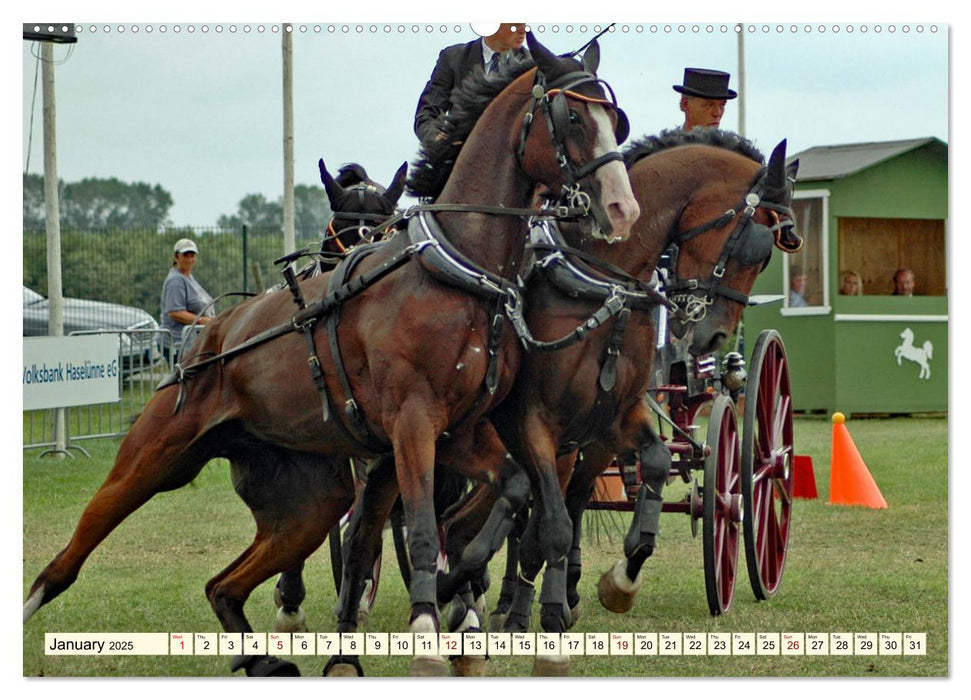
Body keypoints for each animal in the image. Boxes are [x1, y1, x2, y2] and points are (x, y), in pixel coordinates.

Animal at [22, 34, 636, 680]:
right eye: (573, 118)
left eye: (614, 119)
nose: (621, 207)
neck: (457, 273)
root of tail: (206, 341)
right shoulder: (412, 424)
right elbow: (422, 530)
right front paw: (428, 629)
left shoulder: (460, 434)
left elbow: (509, 492)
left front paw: (458, 588)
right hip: (150, 461)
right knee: (71, 555)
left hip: (307, 506)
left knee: (224, 585)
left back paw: (267, 659)